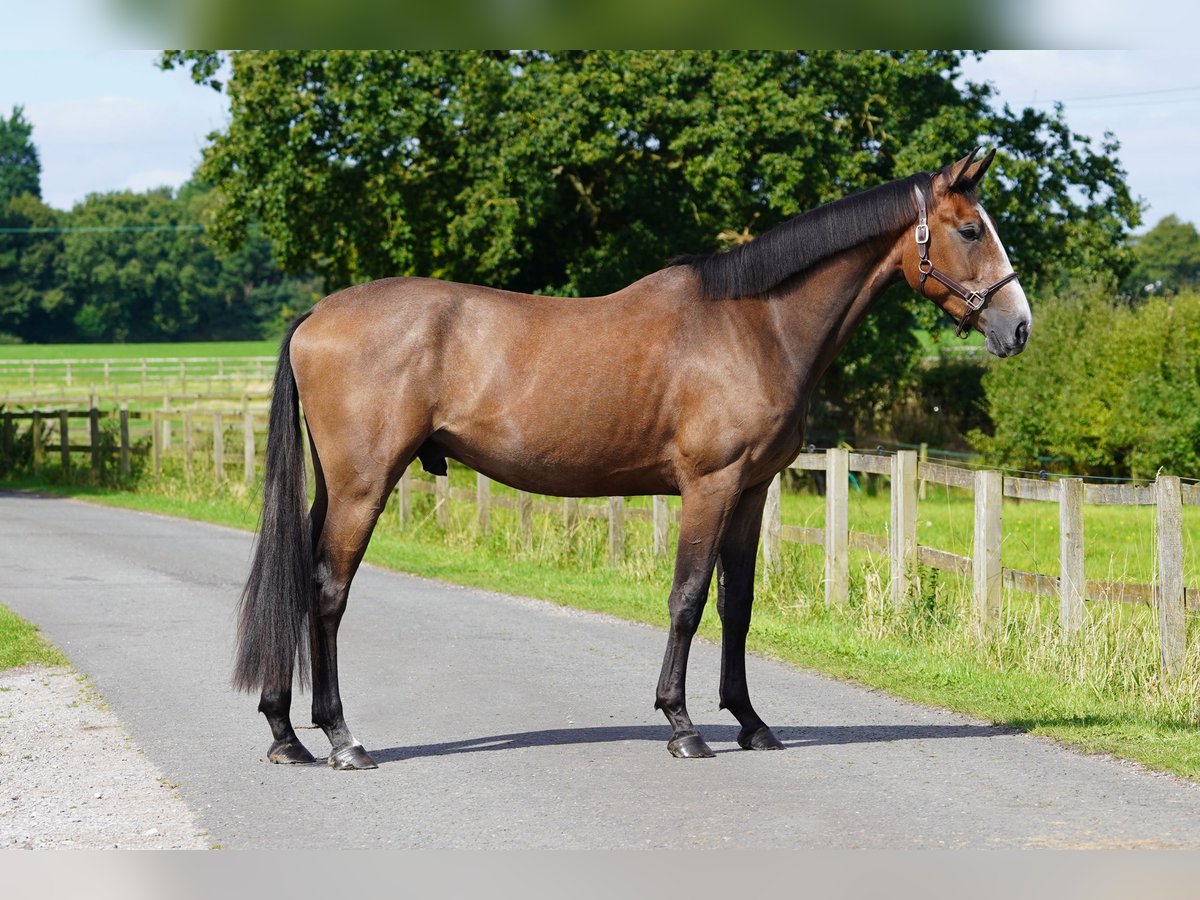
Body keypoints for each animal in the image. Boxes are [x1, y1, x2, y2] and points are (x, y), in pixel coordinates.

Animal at [231, 146, 1032, 768]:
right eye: (969, 229)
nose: (1018, 327)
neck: (755, 325)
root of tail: (318, 314)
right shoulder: (710, 487)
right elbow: (687, 600)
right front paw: (682, 726)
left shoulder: (751, 492)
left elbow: (737, 605)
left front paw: (751, 723)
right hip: (364, 487)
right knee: (328, 591)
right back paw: (340, 739)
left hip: (335, 488)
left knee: (301, 583)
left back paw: (285, 734)